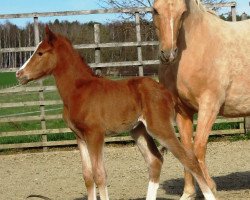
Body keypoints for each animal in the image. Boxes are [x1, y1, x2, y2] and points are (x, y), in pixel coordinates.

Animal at [15, 26, 217, 200]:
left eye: (40, 53)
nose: (19, 74)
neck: (78, 90)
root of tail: (167, 92)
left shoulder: (95, 135)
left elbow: (99, 174)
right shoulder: (80, 137)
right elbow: (87, 176)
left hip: (160, 128)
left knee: (189, 159)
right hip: (138, 130)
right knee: (155, 161)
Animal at [152, 0, 250, 199]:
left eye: (182, 12)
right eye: (155, 10)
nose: (168, 54)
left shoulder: (209, 106)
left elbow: (198, 147)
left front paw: (210, 188)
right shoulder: (182, 111)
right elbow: (187, 150)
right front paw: (188, 193)